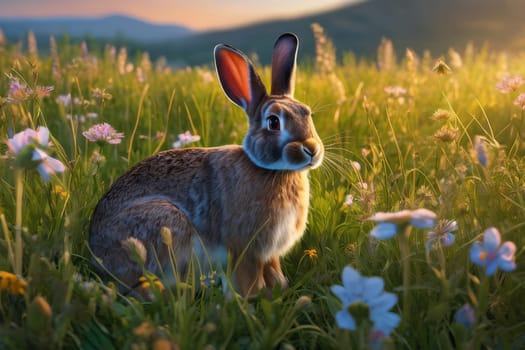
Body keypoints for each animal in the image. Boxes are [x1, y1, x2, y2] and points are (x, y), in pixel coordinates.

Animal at [88, 32, 322, 296]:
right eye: (273, 122)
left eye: (307, 113)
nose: (312, 150)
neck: (274, 170)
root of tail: (97, 253)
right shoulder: (243, 248)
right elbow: (248, 278)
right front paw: (249, 298)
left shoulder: (269, 254)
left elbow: (273, 270)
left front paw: (280, 288)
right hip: (167, 223)